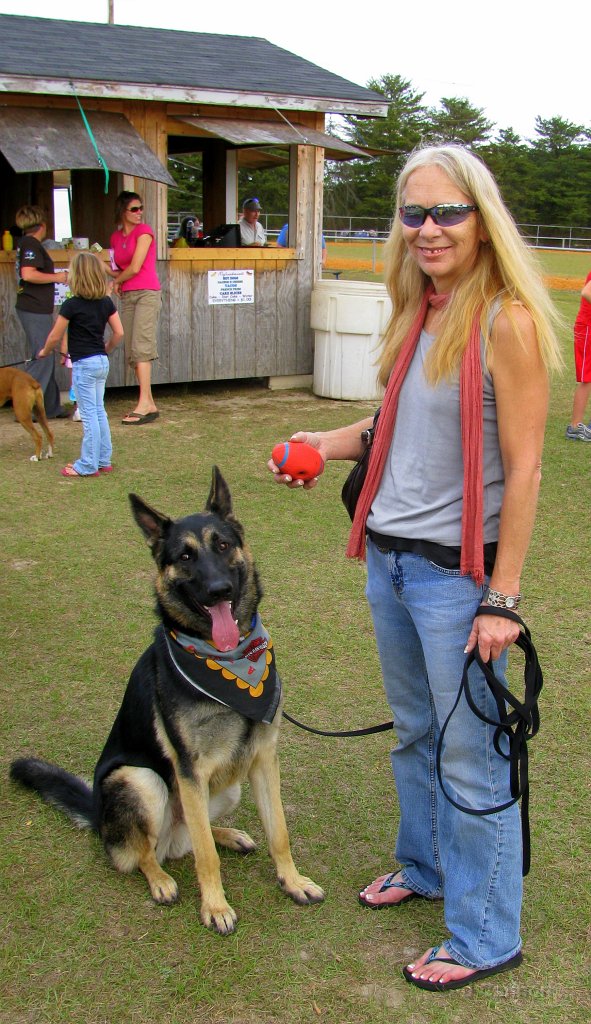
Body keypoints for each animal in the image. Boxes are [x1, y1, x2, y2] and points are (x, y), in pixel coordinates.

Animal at [10, 467, 324, 934]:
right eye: (186, 556)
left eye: (223, 545)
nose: (219, 590)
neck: (230, 660)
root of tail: (98, 815)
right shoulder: (189, 770)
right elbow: (206, 859)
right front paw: (214, 907)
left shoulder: (262, 757)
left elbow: (278, 831)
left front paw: (293, 881)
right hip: (143, 781)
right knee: (144, 853)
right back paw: (159, 879)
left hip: (225, 787)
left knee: (194, 837)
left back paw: (228, 835)